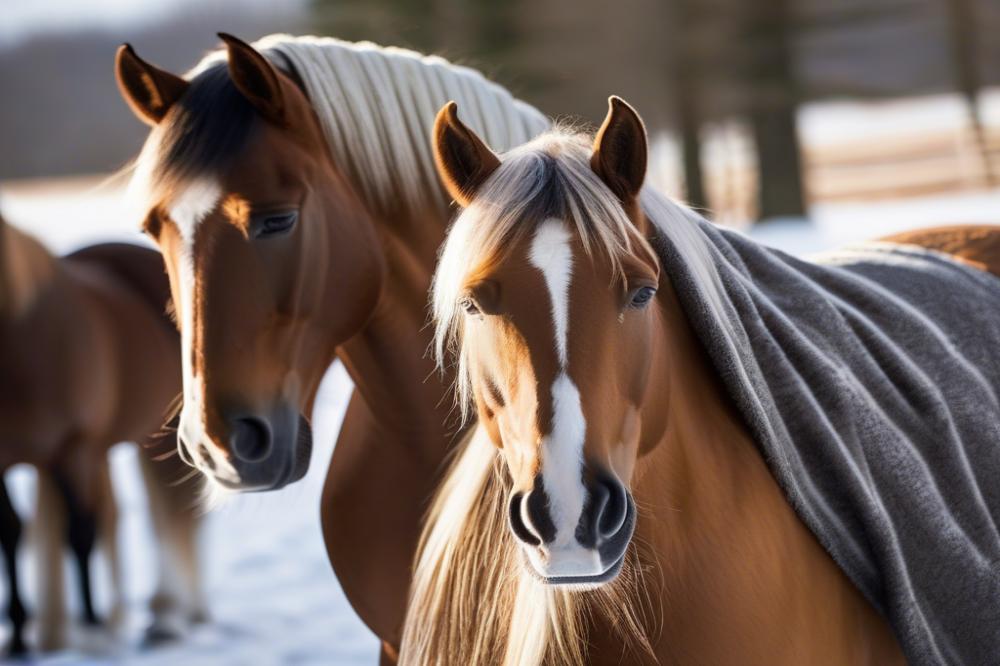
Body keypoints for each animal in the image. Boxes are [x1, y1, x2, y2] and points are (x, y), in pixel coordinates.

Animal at [0, 213, 207, 648]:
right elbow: (10, 532)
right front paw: (19, 637)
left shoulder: (72, 448)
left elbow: (80, 534)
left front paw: (92, 632)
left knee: (173, 516)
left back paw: (174, 615)